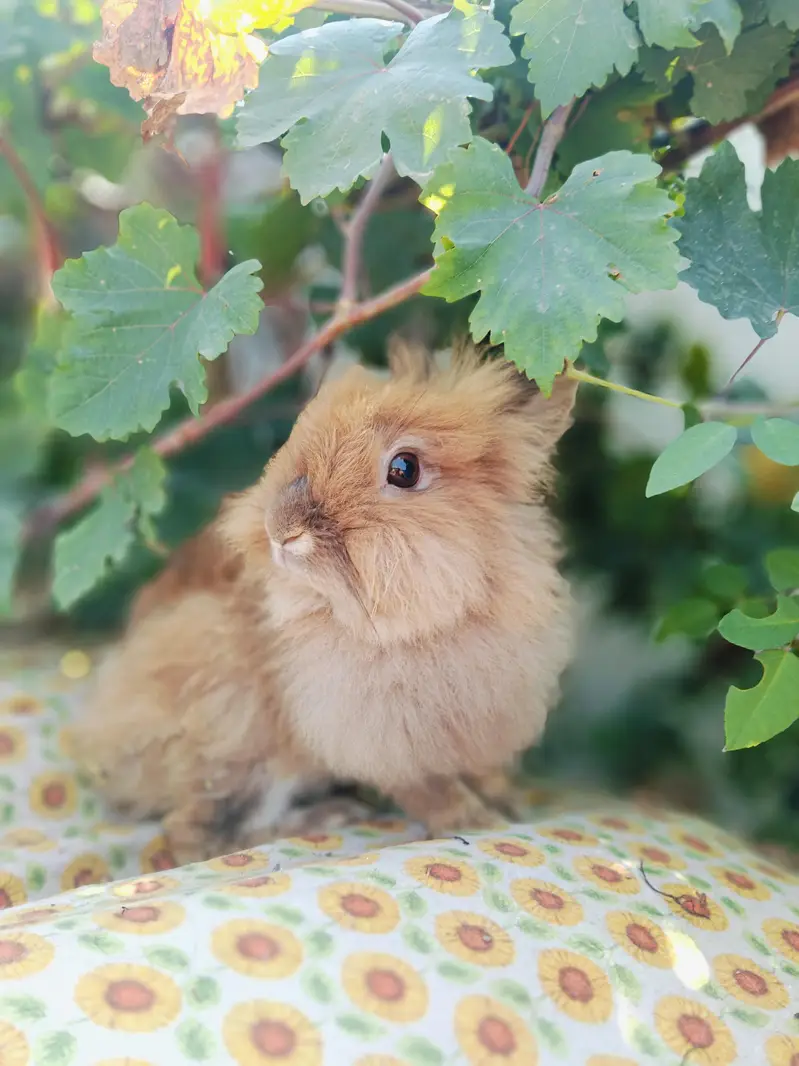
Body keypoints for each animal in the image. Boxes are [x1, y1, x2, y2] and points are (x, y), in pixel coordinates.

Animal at [75, 341, 577, 861]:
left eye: (405, 469)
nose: (280, 529)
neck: (426, 622)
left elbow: (476, 771)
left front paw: (506, 802)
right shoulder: (378, 742)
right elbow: (427, 789)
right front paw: (476, 822)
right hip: (234, 728)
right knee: (193, 837)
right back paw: (328, 816)